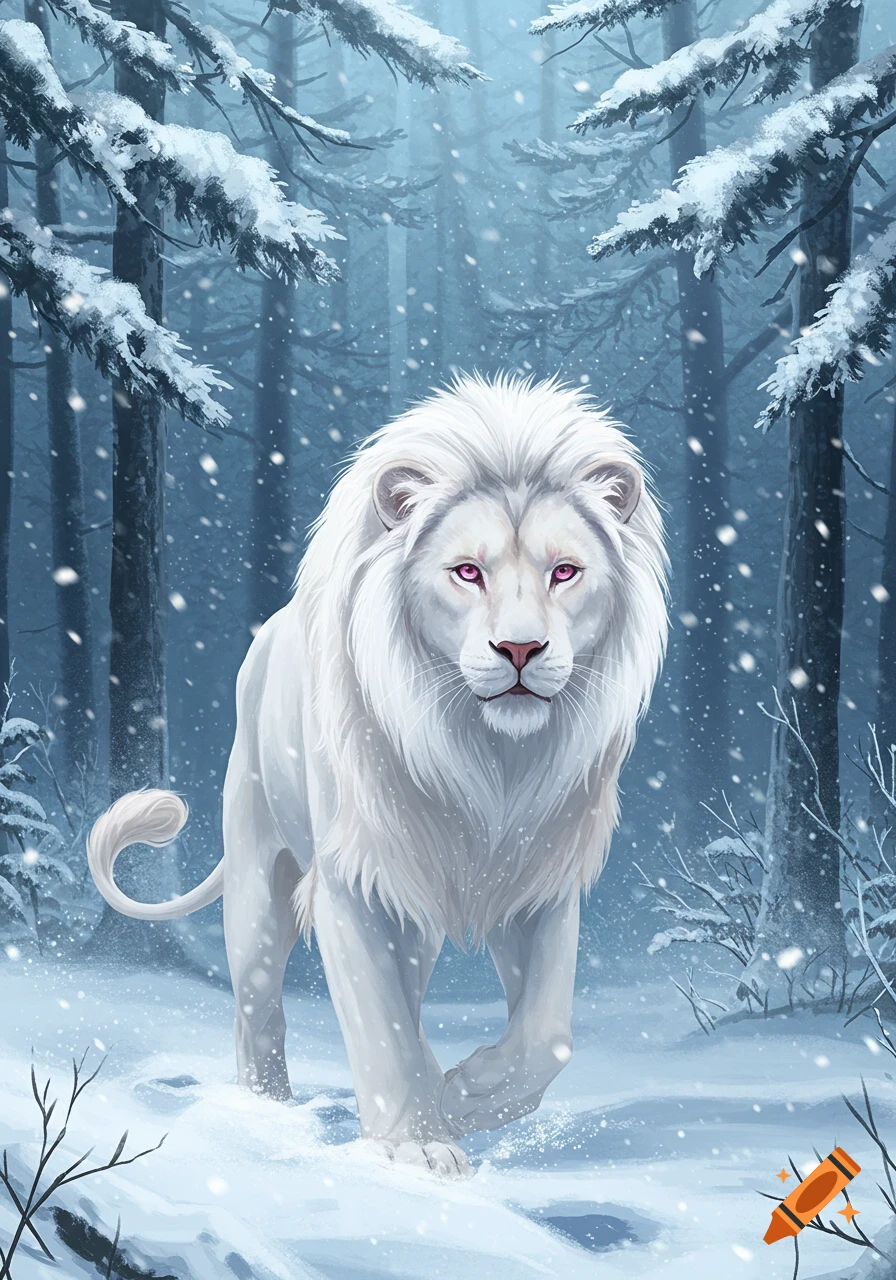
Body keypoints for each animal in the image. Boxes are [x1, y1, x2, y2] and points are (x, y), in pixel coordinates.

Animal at [87, 373, 668, 1179]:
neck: (489, 760)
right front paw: (415, 1141)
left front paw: (461, 1095)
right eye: (467, 571)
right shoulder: (355, 883)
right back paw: (266, 1115)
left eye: (565, 572)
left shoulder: (537, 883)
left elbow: (547, 1036)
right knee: (257, 1010)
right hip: (259, 880)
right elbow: (378, 1023)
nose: (521, 649)